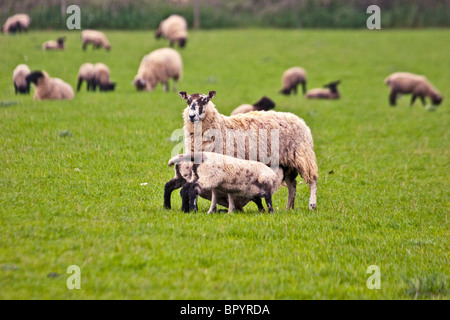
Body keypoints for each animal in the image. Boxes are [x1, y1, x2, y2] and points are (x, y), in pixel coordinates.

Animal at [178, 90, 316, 210]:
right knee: (292, 185)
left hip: (304, 156)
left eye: (205, 100)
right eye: (188, 101)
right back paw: (289, 208)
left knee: (312, 180)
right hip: (287, 162)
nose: (191, 116)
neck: (219, 126)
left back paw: (312, 205)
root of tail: (298, 119)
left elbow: (218, 190)